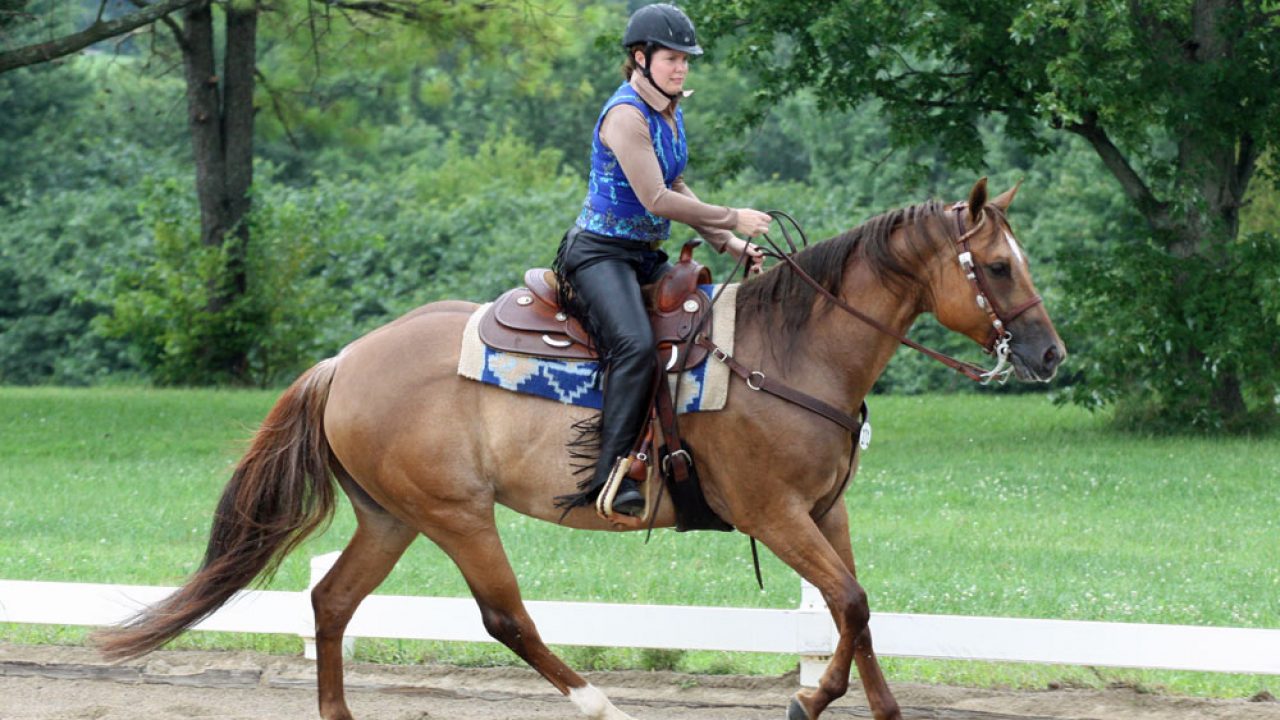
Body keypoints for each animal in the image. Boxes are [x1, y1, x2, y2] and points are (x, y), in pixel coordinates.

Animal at [95, 178, 1065, 720]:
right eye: (1000, 266)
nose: (1051, 355)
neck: (792, 350)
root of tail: (344, 361)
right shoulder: (775, 512)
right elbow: (852, 603)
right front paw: (806, 700)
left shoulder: (829, 510)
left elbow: (855, 613)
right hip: (455, 514)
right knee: (505, 618)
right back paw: (600, 703)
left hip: (391, 517)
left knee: (332, 602)